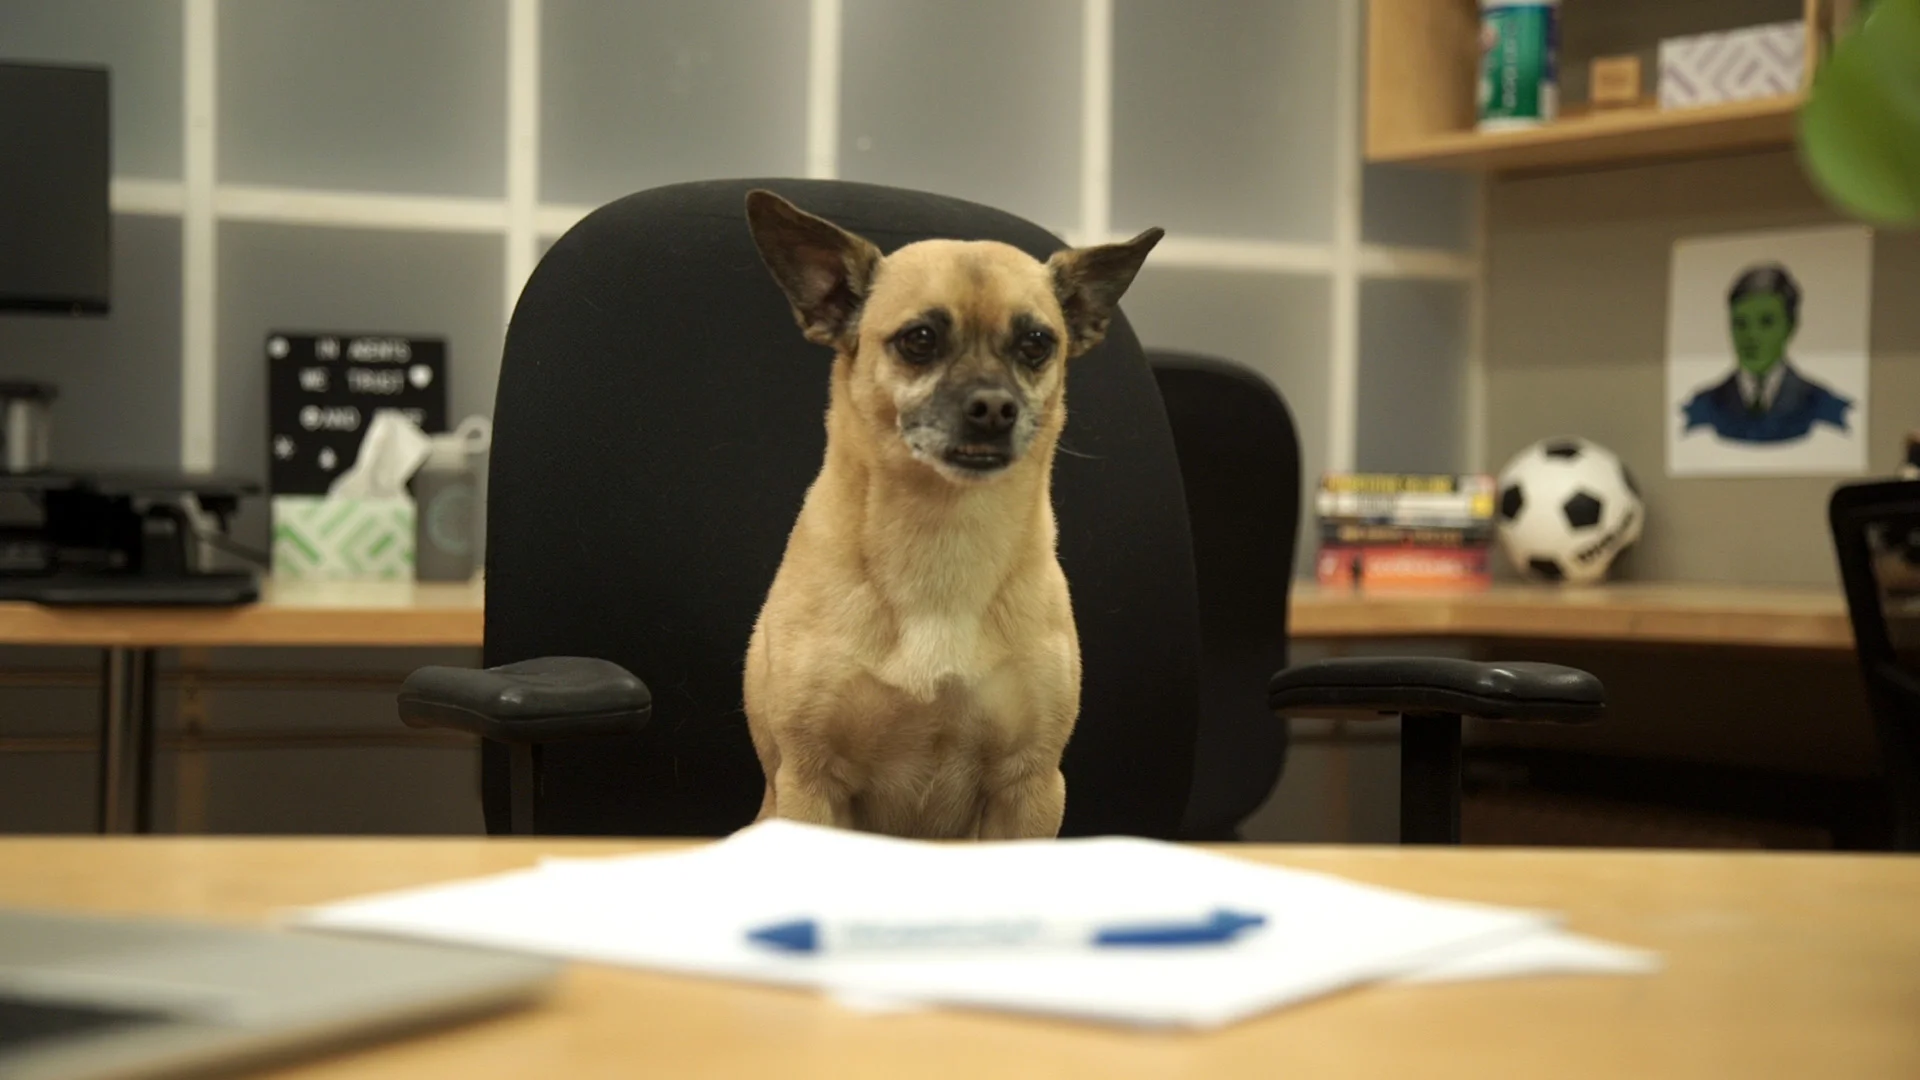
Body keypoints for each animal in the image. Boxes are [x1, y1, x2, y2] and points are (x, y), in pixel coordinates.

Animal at [740, 189, 1161, 840]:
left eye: (1037, 344)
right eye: (919, 339)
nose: (994, 408)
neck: (944, 530)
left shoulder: (1029, 788)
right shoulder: (812, 783)